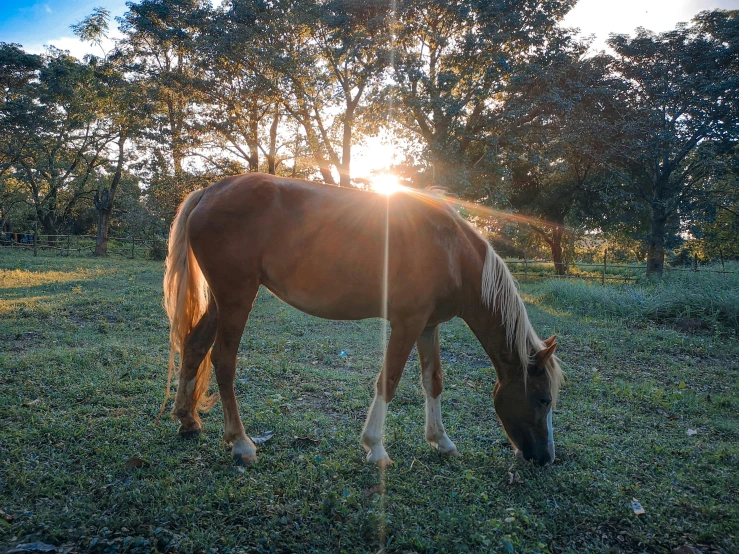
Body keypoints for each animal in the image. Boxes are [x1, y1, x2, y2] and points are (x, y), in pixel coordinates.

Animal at [162, 174, 564, 466]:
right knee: (223, 361)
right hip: (237, 300)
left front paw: (441, 440)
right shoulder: (407, 323)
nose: (545, 458)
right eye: (543, 399)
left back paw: (187, 419)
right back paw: (241, 443)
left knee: (195, 346)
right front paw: (375, 447)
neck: (451, 250)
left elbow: (432, 380)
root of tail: (210, 191)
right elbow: (389, 380)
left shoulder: (428, 326)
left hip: (222, 301)